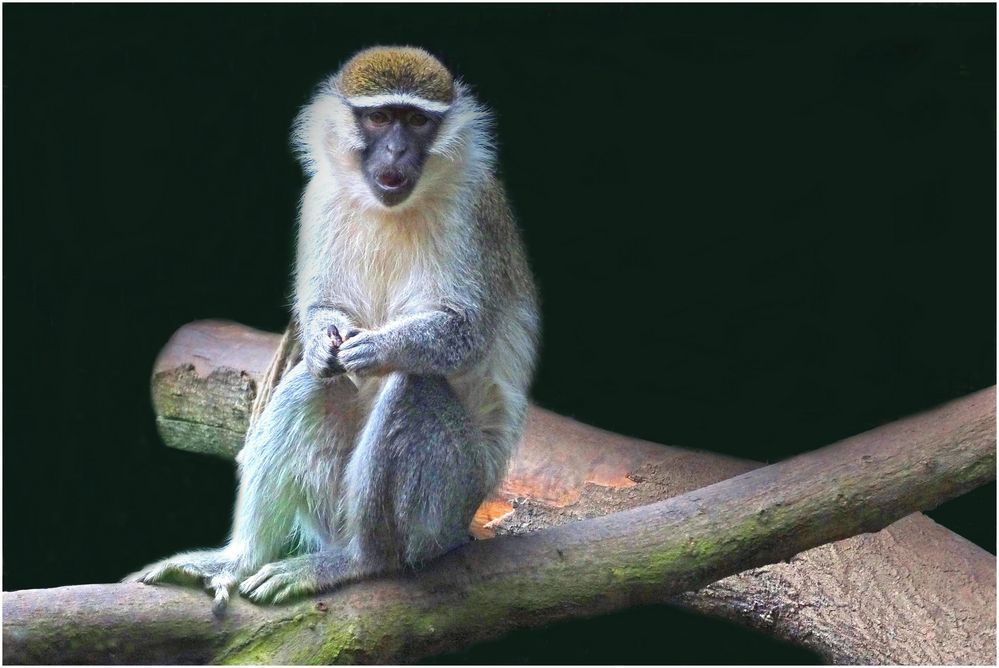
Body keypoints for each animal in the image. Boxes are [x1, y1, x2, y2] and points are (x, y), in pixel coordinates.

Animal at [129, 45, 544, 612]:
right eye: (380, 118)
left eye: (417, 121)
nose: (396, 150)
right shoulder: (319, 197)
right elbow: (322, 319)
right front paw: (326, 336)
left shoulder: (472, 212)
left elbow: (466, 334)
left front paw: (380, 347)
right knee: (312, 381)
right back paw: (239, 559)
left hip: (450, 500)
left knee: (413, 387)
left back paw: (361, 560)